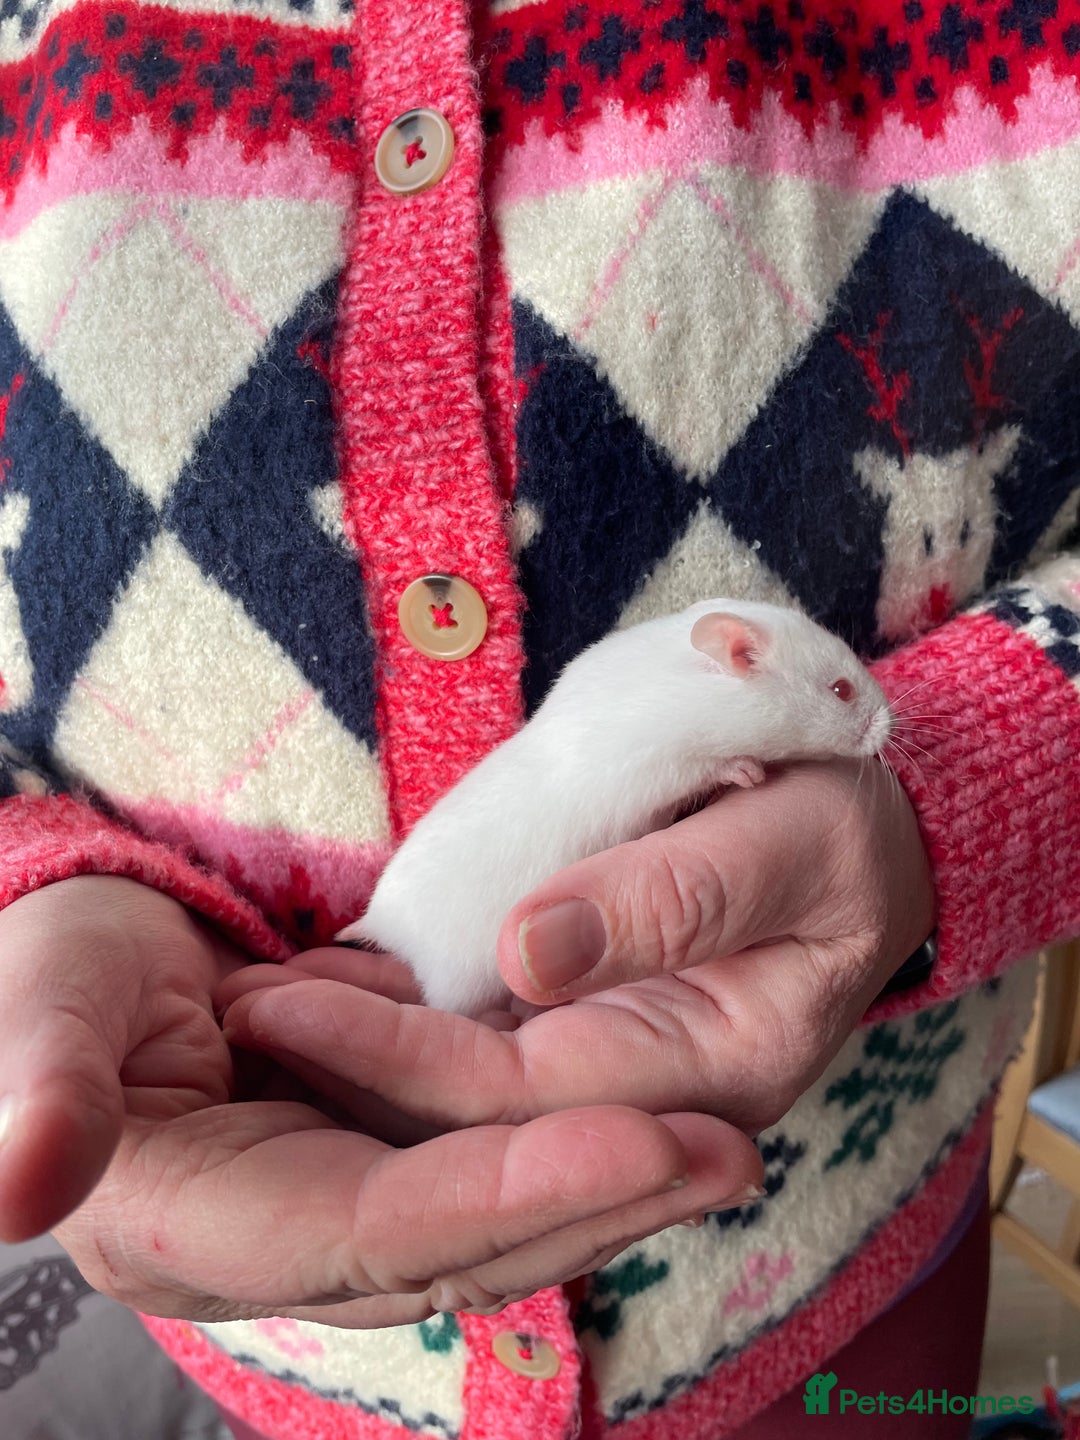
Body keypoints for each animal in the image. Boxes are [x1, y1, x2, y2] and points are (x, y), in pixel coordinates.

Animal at [338, 599, 893, 1016]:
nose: (889, 729)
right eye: (841, 690)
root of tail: (382, 925)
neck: (702, 684)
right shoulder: (663, 762)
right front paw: (749, 772)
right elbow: (715, 768)